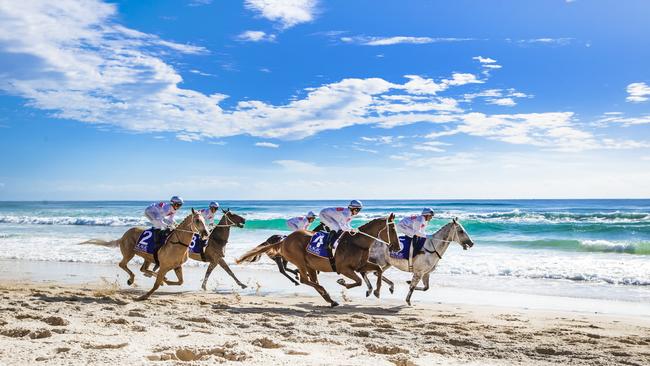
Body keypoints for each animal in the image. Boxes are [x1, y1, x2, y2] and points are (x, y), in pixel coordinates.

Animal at [238, 214, 400, 306]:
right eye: (392, 229)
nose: (397, 247)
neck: (357, 242)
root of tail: (284, 240)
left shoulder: (360, 266)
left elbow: (378, 270)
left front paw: (378, 291)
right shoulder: (344, 268)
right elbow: (359, 281)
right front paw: (342, 282)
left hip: (310, 265)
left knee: (312, 280)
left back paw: (330, 299)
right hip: (300, 261)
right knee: (305, 279)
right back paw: (323, 291)